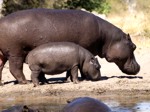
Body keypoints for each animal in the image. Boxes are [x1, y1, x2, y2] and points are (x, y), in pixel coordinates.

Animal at [0, 8, 140, 84]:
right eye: (134, 46)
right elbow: (83, 65)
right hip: (15, 53)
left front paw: (69, 80)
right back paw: (25, 82)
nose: (139, 67)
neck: (108, 38)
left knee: (1, 67)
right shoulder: (85, 49)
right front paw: (82, 78)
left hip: (3, 55)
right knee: (15, 68)